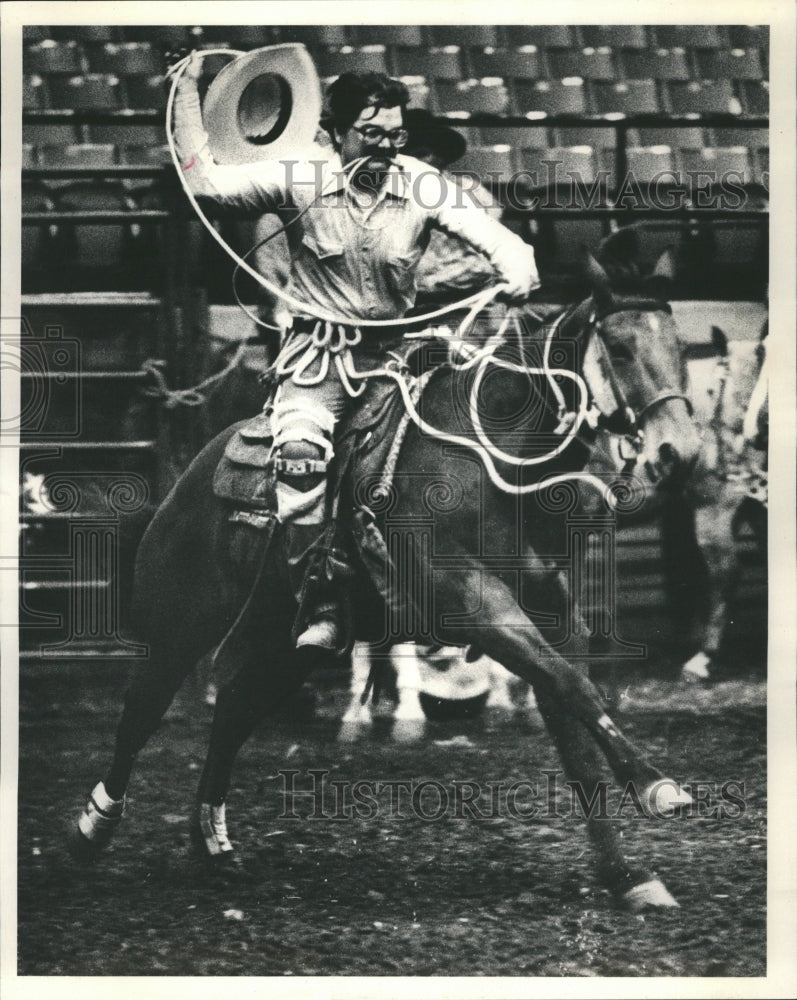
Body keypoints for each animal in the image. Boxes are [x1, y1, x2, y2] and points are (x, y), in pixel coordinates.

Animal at [71, 254, 700, 912]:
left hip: (289, 642)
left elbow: (573, 714)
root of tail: (190, 475)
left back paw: (212, 844)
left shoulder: (552, 615)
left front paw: (627, 876)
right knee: (142, 712)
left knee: (236, 710)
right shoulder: (472, 602)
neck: (492, 460)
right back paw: (93, 830)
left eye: (680, 349)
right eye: (621, 349)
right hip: (176, 626)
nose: (677, 453)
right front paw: (655, 785)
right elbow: (577, 689)